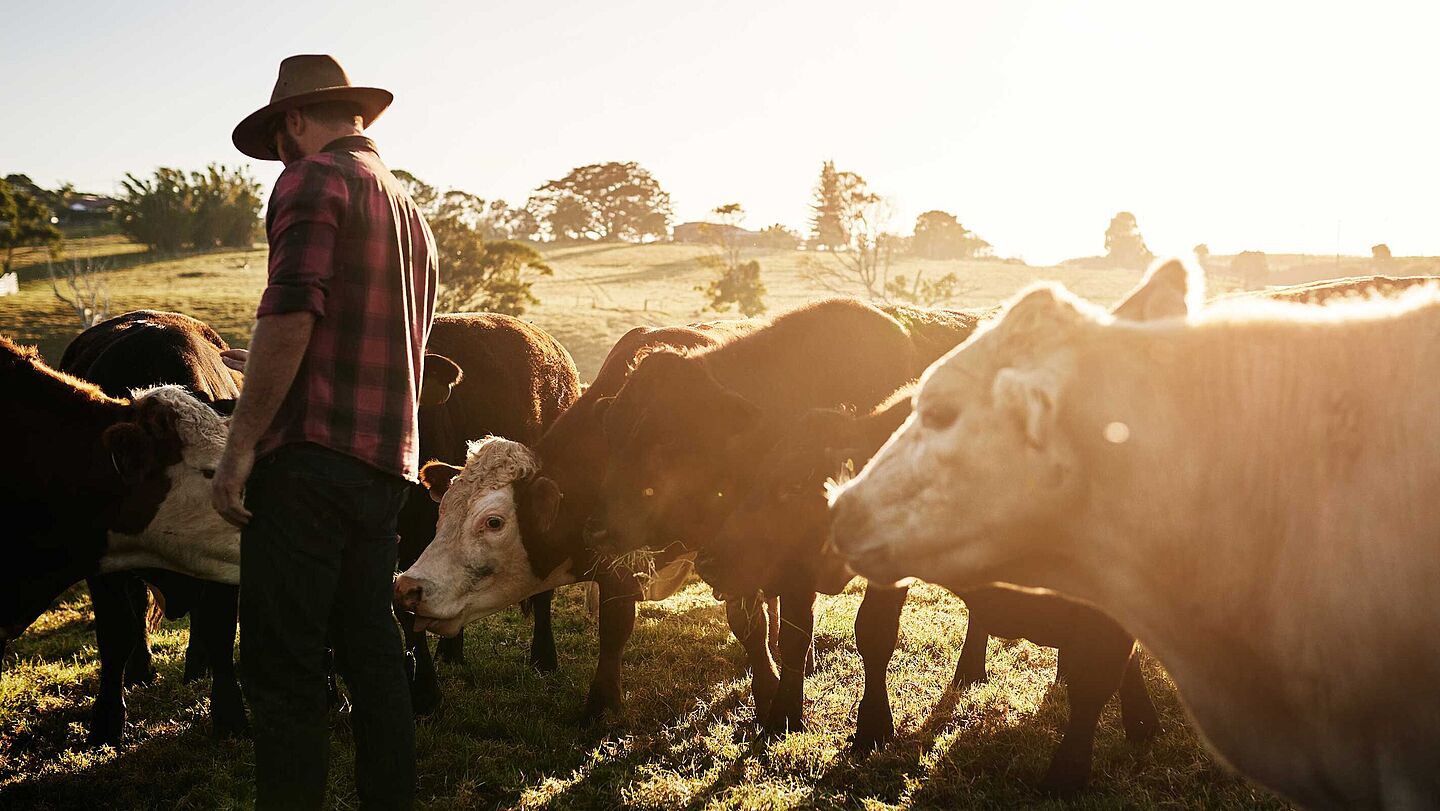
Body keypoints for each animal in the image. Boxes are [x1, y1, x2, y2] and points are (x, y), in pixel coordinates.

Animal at [56, 312, 246, 749]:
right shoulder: (104, 564)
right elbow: (116, 634)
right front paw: (107, 722)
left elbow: (219, 627)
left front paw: (230, 716)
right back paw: (140, 672)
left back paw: (196, 666)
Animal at [578, 301, 984, 731]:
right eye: (612, 435)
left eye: (667, 439)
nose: (597, 530)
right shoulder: (760, 559)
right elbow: (779, 633)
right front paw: (780, 710)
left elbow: (873, 630)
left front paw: (872, 724)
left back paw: (969, 671)